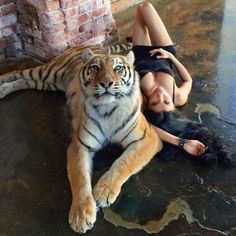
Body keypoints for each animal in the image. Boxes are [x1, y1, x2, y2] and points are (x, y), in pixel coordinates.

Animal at [0, 43, 162, 233]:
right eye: (95, 68)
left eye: (118, 68)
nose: (106, 83)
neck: (108, 110)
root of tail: (89, 44)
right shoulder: (80, 144)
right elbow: (80, 178)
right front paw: (81, 215)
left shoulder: (148, 139)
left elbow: (122, 163)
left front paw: (103, 192)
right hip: (47, 72)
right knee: (19, 73)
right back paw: (2, 84)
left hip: (47, 83)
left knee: (24, 80)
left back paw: (2, 89)